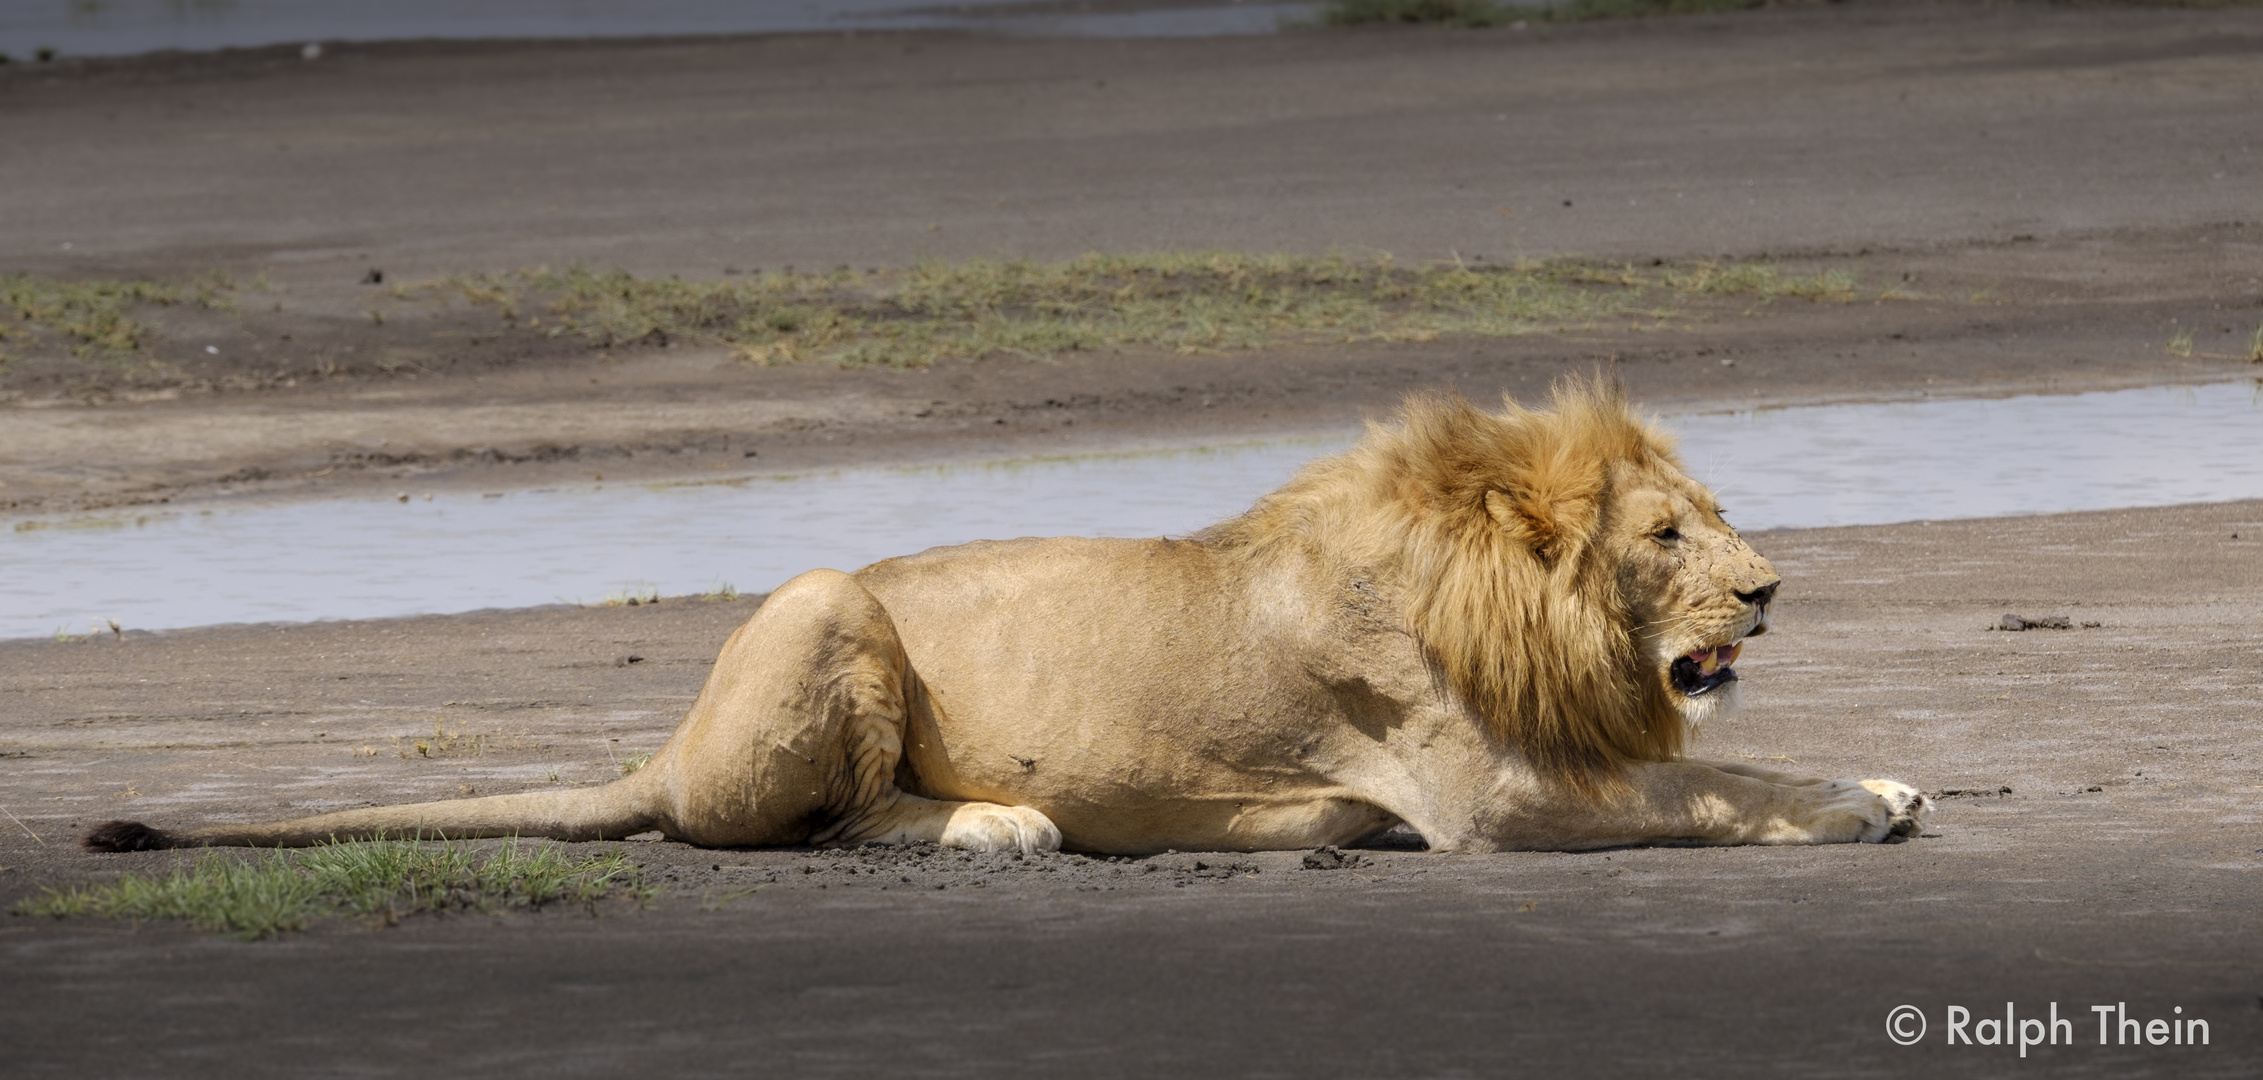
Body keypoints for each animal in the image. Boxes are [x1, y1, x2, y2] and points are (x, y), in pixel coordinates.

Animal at [83, 373, 1928, 855]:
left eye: (1714, 515)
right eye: (1666, 532)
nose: (1770, 587)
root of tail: (664, 746)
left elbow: (1709, 763)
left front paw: (1884, 775)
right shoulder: (1481, 795)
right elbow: (1705, 788)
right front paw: (1846, 805)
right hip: (822, 608)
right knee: (826, 829)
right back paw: (998, 827)